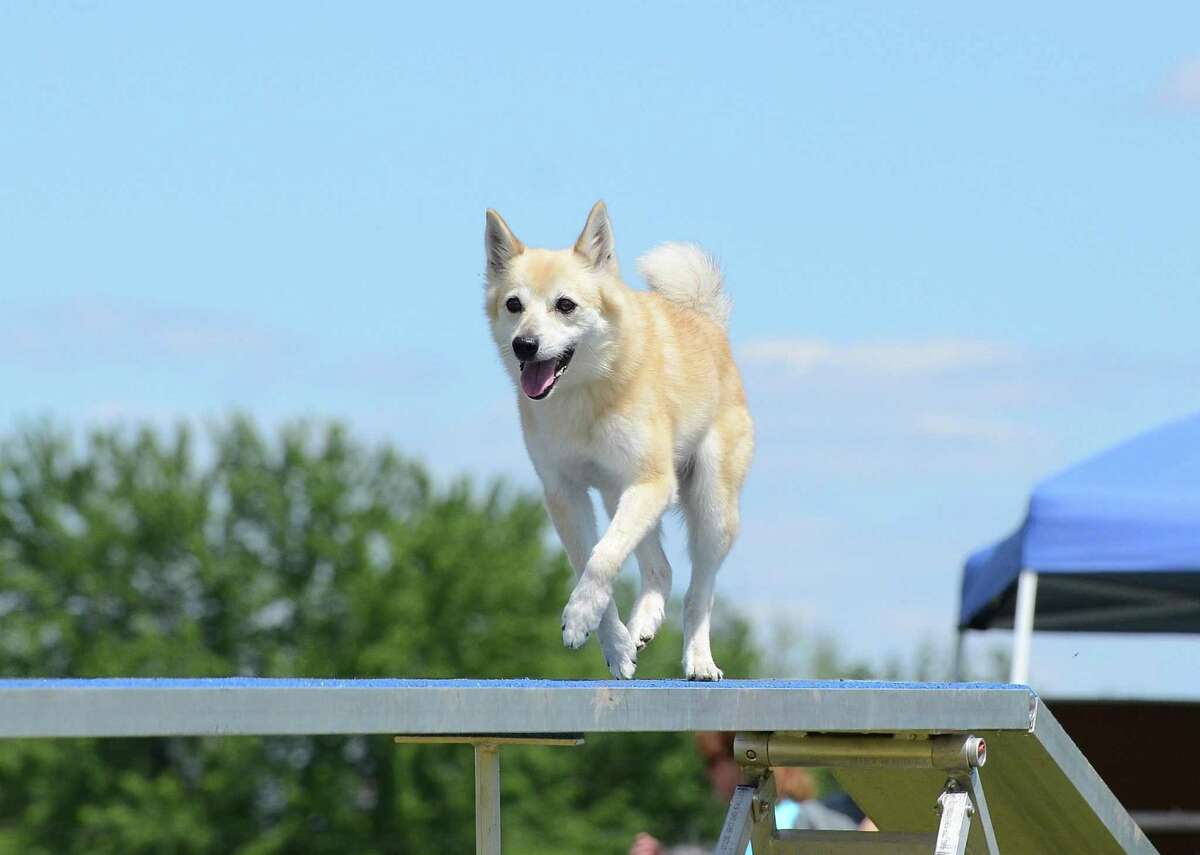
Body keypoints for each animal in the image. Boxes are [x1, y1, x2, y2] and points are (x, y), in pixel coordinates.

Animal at [484, 200, 748, 682]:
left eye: (565, 305)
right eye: (513, 304)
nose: (524, 345)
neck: (585, 393)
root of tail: (706, 322)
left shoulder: (650, 482)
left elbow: (602, 558)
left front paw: (578, 617)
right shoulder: (566, 494)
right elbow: (588, 560)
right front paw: (612, 643)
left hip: (709, 508)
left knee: (700, 592)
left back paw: (699, 660)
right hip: (617, 497)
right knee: (660, 568)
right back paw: (642, 625)